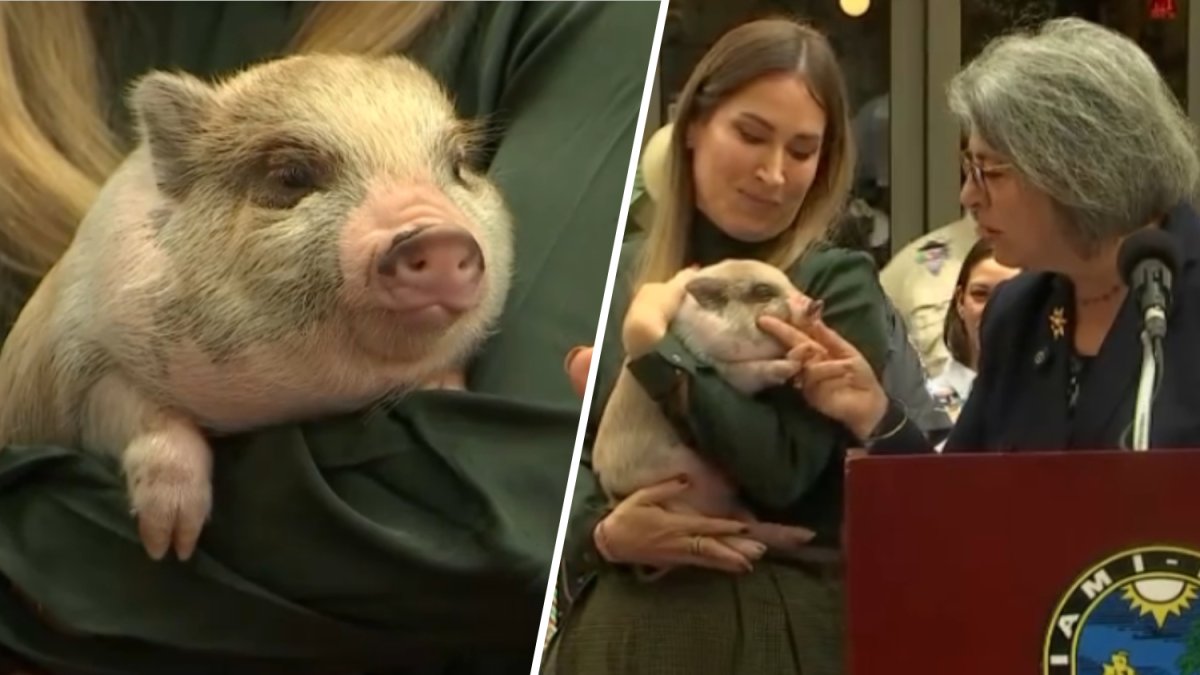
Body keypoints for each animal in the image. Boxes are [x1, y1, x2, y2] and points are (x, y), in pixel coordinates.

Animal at [0, 53, 514, 562]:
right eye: (291, 176)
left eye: (458, 166)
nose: (439, 237)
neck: (308, 396)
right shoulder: (81, 359)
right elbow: (145, 416)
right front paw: (170, 546)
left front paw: (446, 388)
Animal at [591, 259, 821, 579]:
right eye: (762, 292)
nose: (816, 304)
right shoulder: (723, 370)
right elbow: (755, 371)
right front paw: (798, 357)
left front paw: (806, 351)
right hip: (674, 502)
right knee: (722, 531)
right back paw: (750, 554)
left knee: (748, 525)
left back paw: (801, 536)